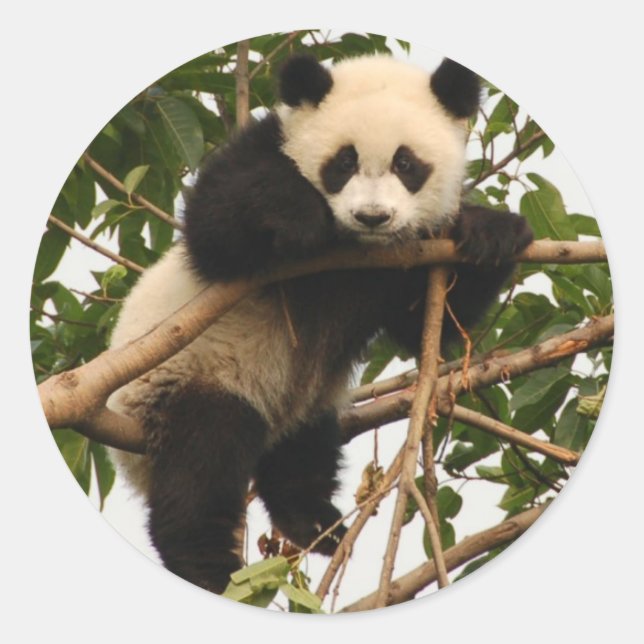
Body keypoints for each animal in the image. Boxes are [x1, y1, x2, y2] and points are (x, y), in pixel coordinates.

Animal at [107, 53, 533, 594]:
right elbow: (215, 223)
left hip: (299, 398)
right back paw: (209, 565)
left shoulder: (401, 262)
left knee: (303, 454)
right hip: (184, 379)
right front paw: (301, 217)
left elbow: (421, 321)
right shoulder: (259, 152)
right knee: (202, 462)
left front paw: (492, 231)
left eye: (406, 164)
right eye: (343, 163)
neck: (353, 251)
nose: (372, 216)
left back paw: (313, 522)